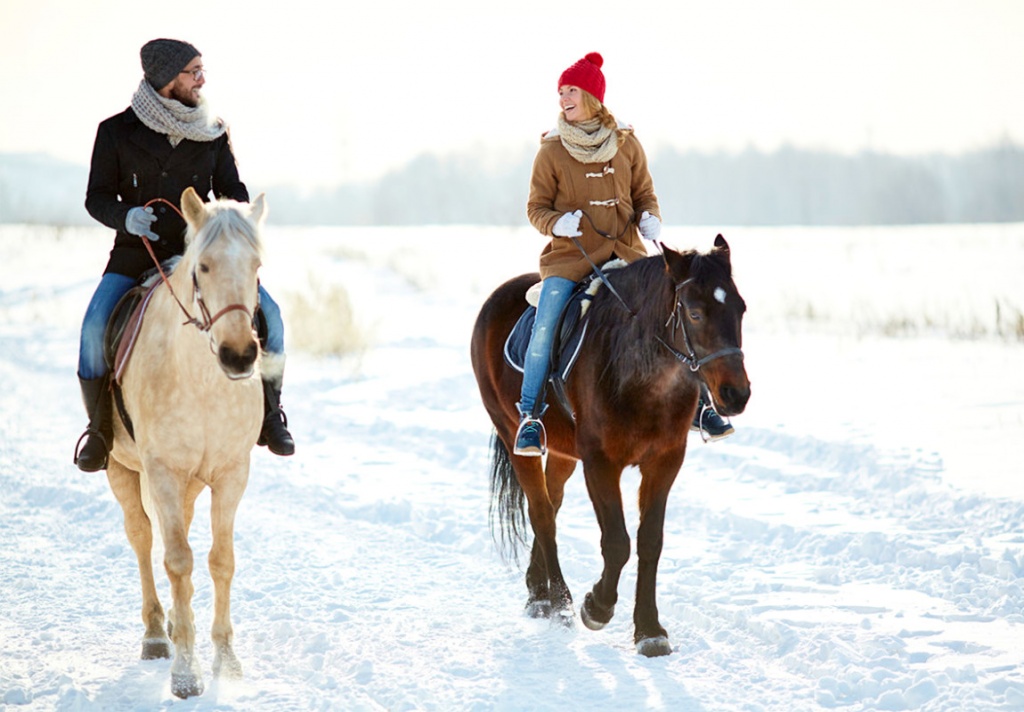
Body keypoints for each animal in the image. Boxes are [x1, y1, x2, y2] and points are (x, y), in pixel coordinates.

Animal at [105, 187, 267, 698]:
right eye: (204, 267)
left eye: (256, 264)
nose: (239, 356)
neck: (203, 382)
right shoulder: (162, 472)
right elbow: (177, 560)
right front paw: (185, 674)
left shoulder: (232, 473)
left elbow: (220, 561)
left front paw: (226, 661)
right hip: (122, 469)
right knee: (141, 538)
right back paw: (159, 633)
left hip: (191, 485)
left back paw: (177, 624)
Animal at [470, 235, 750, 656]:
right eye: (695, 313)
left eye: (741, 309)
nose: (737, 395)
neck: (640, 374)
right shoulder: (600, 463)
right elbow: (617, 542)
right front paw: (596, 607)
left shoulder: (665, 461)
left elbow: (650, 541)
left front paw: (649, 630)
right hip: (511, 432)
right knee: (542, 514)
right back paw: (560, 602)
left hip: (564, 453)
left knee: (552, 504)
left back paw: (538, 593)